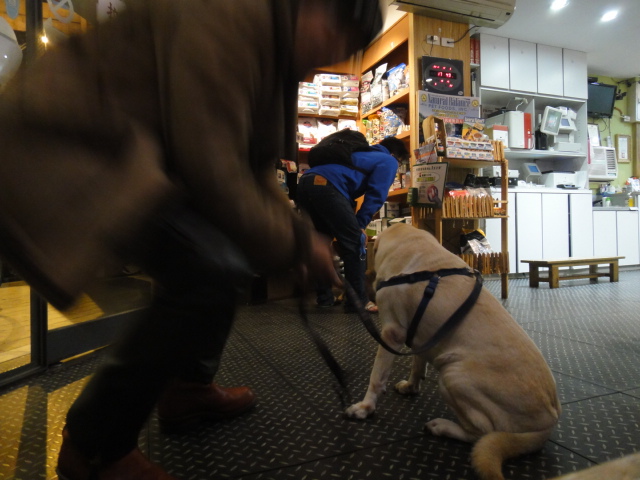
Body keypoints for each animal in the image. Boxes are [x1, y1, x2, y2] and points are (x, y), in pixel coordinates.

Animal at [345, 223, 561, 480]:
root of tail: (548, 423)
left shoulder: (391, 334)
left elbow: (376, 378)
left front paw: (365, 408)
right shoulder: (420, 335)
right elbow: (417, 364)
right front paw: (411, 386)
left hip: (453, 375)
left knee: (481, 433)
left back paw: (442, 427)